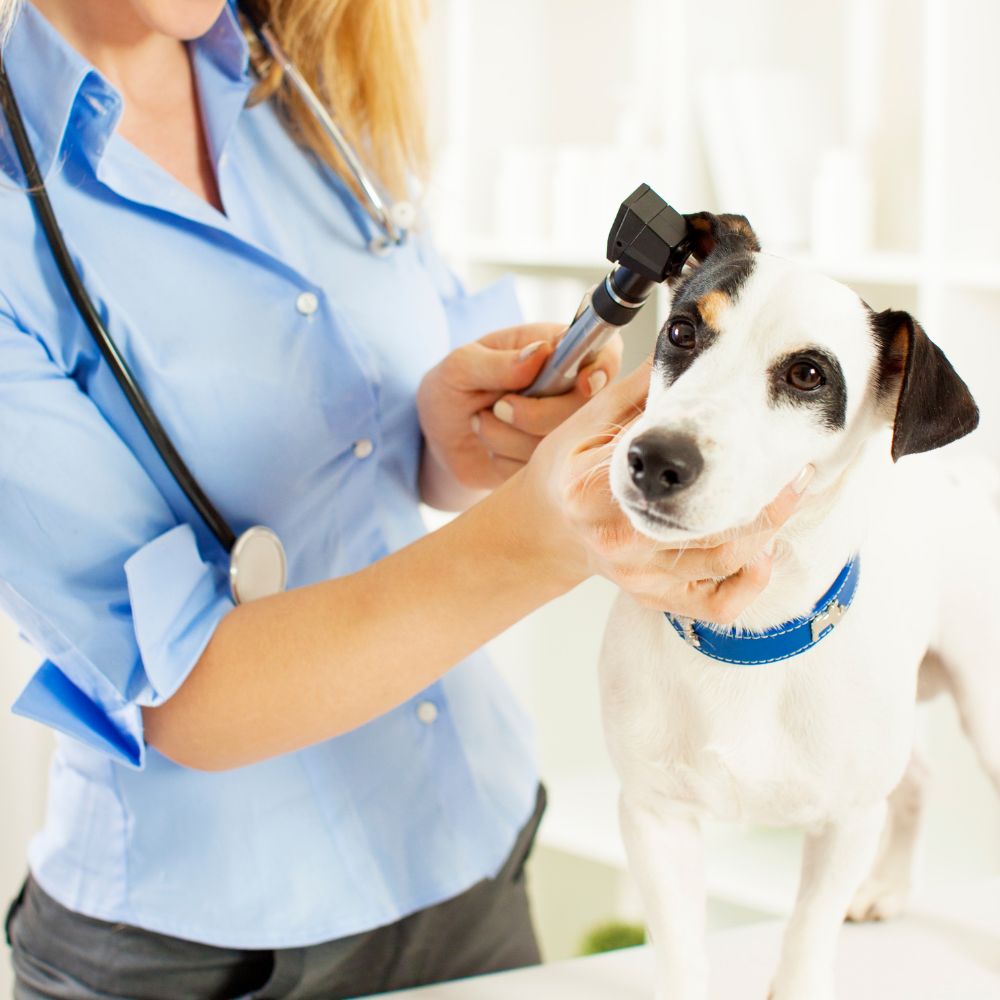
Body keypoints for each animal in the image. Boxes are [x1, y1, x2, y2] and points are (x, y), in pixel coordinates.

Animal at [596, 215, 996, 1000]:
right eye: (681, 331)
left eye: (808, 375)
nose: (655, 459)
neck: (749, 635)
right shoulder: (654, 817)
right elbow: (682, 954)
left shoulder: (845, 821)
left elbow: (806, 937)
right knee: (918, 779)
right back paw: (889, 887)